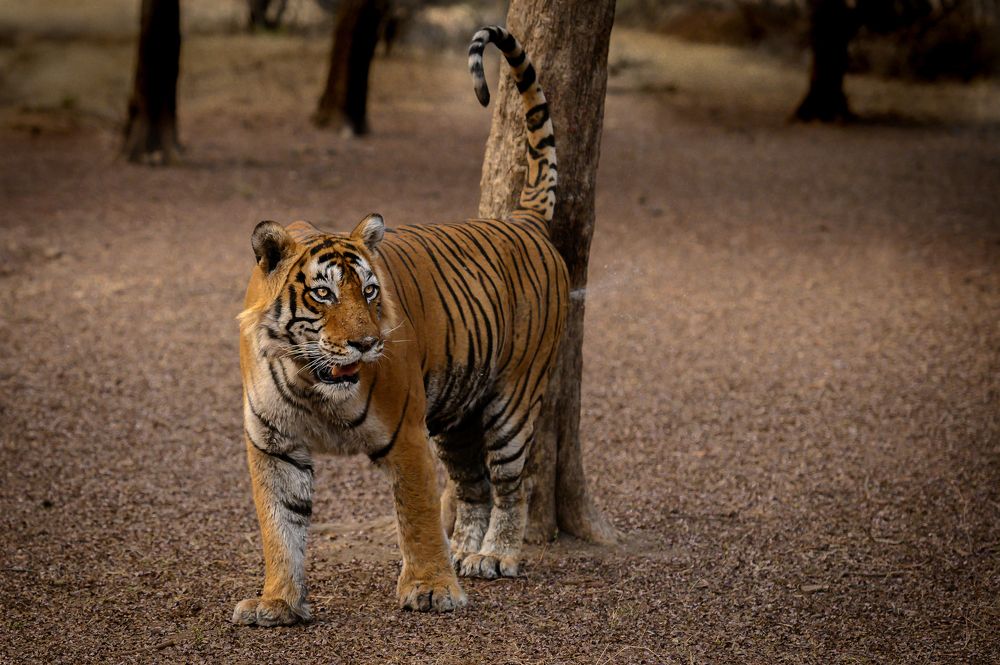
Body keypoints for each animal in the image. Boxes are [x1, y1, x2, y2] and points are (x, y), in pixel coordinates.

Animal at [232, 25, 565, 626]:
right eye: (322, 293)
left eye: (368, 291)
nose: (366, 344)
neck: (310, 383)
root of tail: (522, 220)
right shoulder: (272, 443)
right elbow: (279, 526)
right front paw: (278, 601)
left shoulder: (406, 431)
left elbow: (417, 513)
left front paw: (432, 588)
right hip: (457, 413)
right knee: (473, 485)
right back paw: (466, 551)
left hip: (513, 398)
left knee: (513, 483)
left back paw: (495, 557)